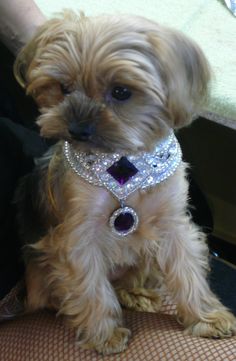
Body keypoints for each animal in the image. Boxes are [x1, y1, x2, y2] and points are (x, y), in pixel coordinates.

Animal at [14, 11, 236, 354]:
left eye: (121, 92)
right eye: (63, 88)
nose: (77, 129)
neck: (124, 163)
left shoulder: (173, 223)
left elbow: (187, 270)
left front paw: (206, 317)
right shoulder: (79, 235)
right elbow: (90, 286)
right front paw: (104, 334)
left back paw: (137, 293)